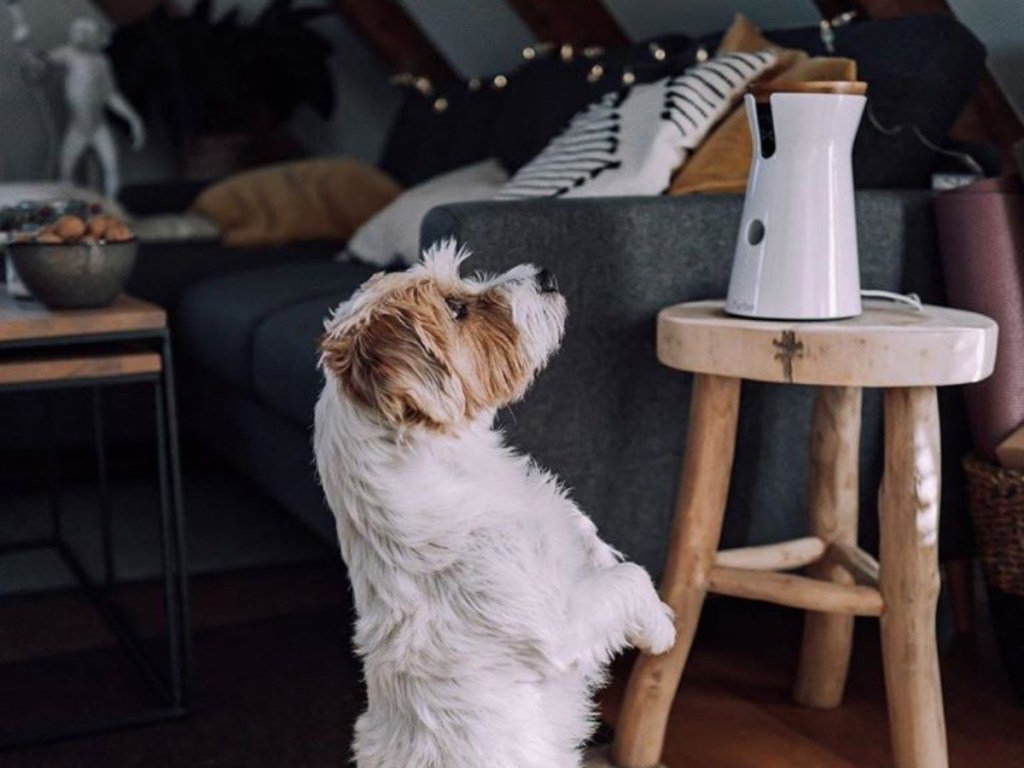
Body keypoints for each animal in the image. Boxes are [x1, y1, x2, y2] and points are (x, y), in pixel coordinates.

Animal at [315, 241, 675, 768]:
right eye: (456, 309)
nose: (545, 274)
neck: (458, 467)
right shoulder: (558, 625)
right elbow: (632, 578)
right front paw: (660, 627)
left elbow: (583, 530)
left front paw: (600, 551)